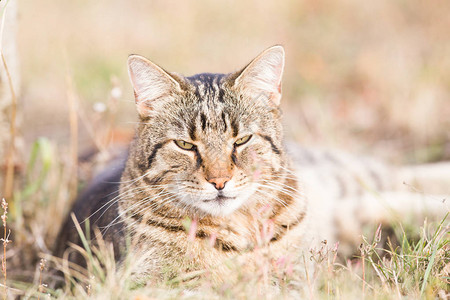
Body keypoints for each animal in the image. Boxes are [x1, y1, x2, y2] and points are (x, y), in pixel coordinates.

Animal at [55, 45, 446, 284]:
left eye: (241, 140)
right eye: (185, 145)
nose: (219, 181)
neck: (239, 228)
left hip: (349, 176)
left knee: (401, 175)